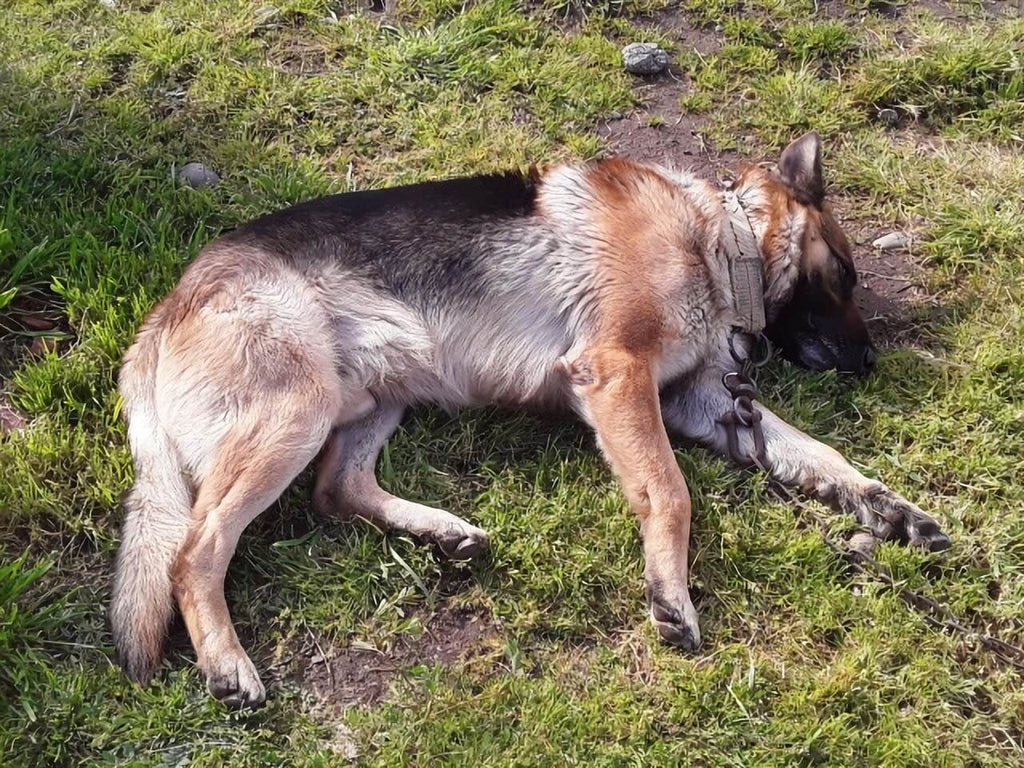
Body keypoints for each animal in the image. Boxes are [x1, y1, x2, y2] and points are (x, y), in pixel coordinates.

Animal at [108, 132, 946, 708]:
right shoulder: (617, 375)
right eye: (845, 275)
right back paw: (227, 665)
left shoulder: (703, 402)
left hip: (382, 393)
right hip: (297, 413)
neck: (717, 237)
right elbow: (671, 492)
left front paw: (888, 505)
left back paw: (442, 532)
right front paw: (670, 594)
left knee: (335, 490)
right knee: (195, 551)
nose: (871, 362)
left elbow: (816, 453)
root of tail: (165, 308)